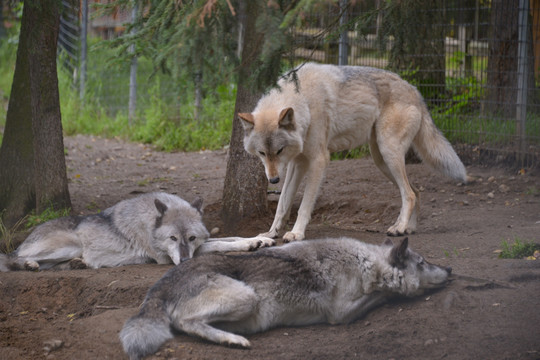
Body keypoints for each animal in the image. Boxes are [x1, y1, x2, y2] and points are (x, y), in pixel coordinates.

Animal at [0, 191, 276, 270]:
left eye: (191, 237)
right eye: (172, 238)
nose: (185, 262)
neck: (149, 224)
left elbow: (230, 237)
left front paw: (260, 239)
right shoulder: (166, 258)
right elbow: (219, 243)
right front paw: (252, 243)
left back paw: (79, 264)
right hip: (70, 244)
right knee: (12, 259)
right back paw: (28, 265)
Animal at [119, 236, 452, 360]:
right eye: (423, 262)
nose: (450, 268)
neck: (364, 262)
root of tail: (158, 287)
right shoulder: (340, 313)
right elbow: (383, 295)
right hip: (246, 297)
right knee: (186, 323)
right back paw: (233, 341)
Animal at [238, 62, 470, 242]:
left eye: (279, 151)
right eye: (262, 153)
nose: (273, 180)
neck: (304, 100)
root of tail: (416, 91)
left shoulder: (319, 161)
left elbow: (304, 205)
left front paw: (296, 233)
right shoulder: (298, 163)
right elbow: (282, 204)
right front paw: (271, 233)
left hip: (389, 154)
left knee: (410, 194)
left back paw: (400, 228)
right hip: (381, 160)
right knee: (417, 192)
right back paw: (408, 228)